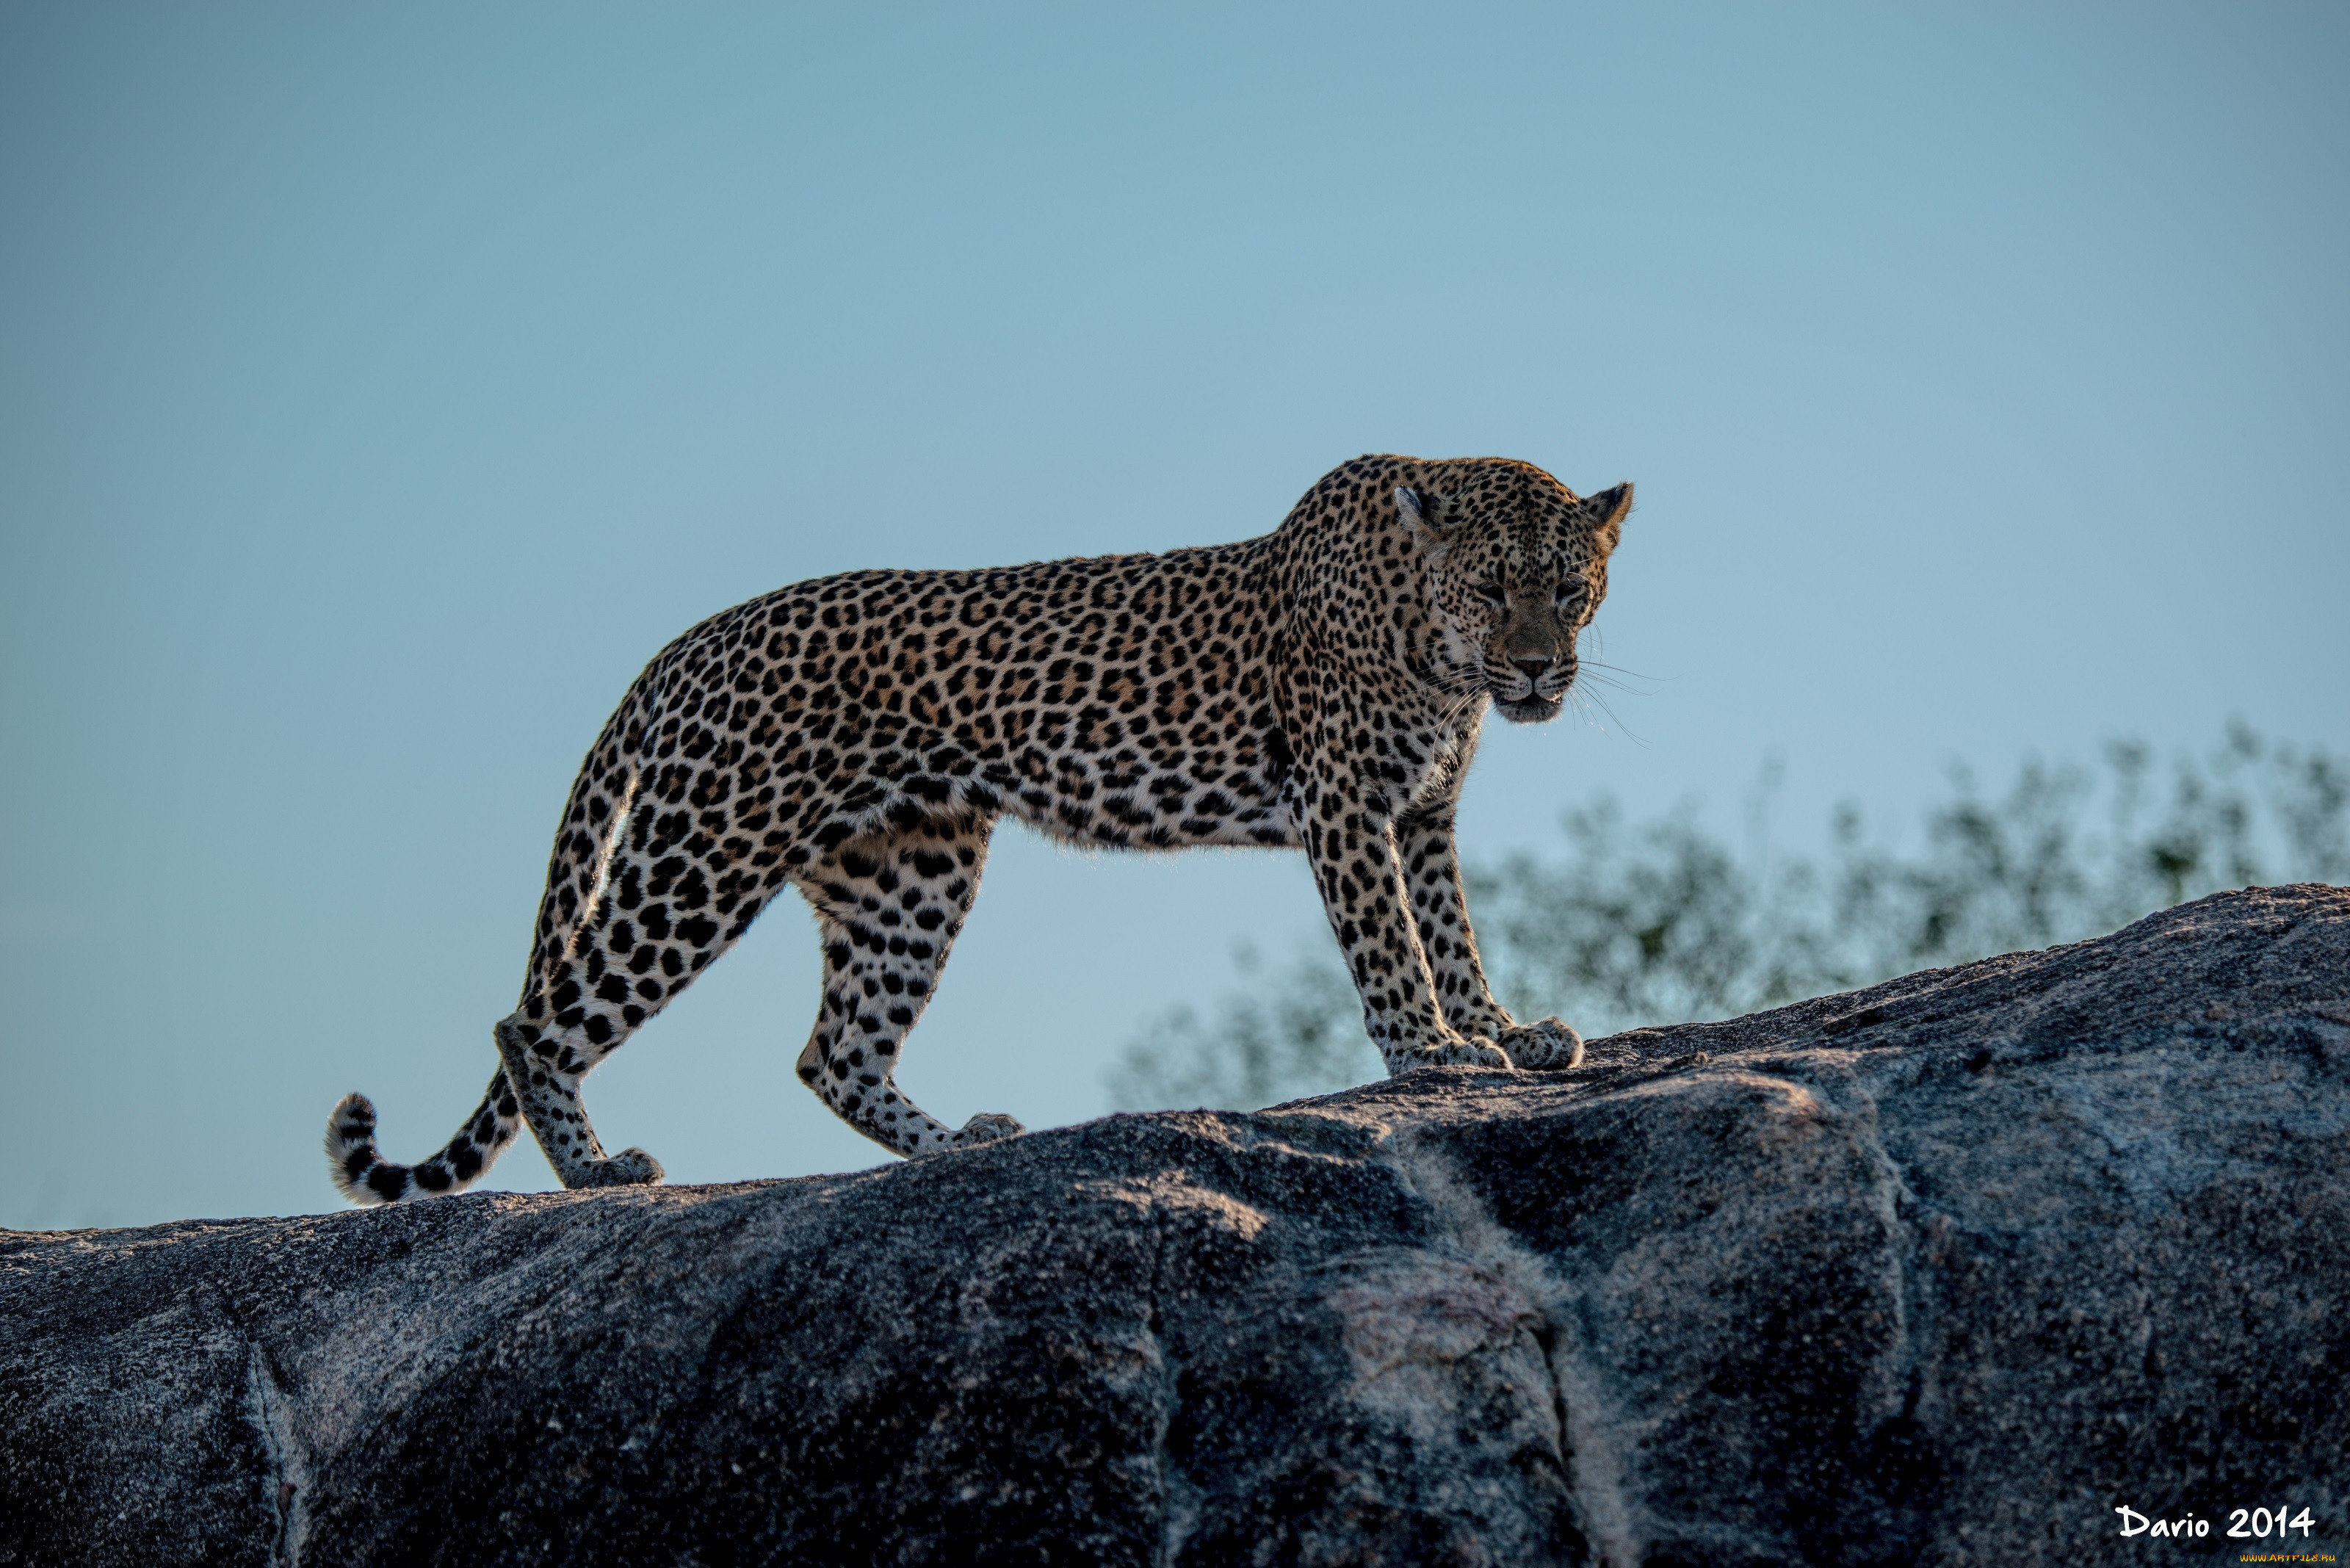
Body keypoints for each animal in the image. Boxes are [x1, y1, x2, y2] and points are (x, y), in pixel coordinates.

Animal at [322, 453, 1626, 1203]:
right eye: (1490, 587)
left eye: (1571, 589)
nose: (1537, 669)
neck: (1434, 649)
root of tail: (689, 641)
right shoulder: (1350, 800)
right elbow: (1391, 942)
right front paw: (1437, 1052)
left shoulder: (1425, 808)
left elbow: (1451, 930)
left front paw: (1506, 1028)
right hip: (704, 849)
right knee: (533, 1021)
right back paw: (597, 1169)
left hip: (911, 871)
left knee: (834, 1049)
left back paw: (956, 1145)